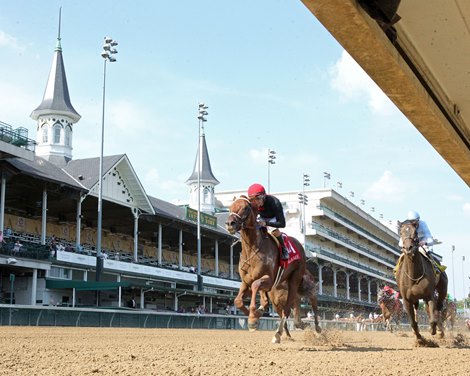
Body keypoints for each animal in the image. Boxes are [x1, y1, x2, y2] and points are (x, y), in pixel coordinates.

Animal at [226, 195, 306, 342]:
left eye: (245, 208)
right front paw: (255, 314)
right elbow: (238, 301)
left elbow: (256, 285)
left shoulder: (269, 279)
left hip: (294, 279)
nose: (230, 223)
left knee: (288, 308)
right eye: (230, 207)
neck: (252, 249)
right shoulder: (246, 282)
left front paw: (253, 317)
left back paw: (278, 334)